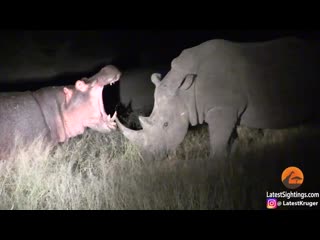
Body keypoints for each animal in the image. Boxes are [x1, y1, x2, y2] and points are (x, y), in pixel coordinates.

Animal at [116, 37, 320, 161]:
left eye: (166, 125)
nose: (149, 158)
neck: (185, 90)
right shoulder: (230, 110)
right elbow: (233, 140)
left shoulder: (222, 109)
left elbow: (218, 143)